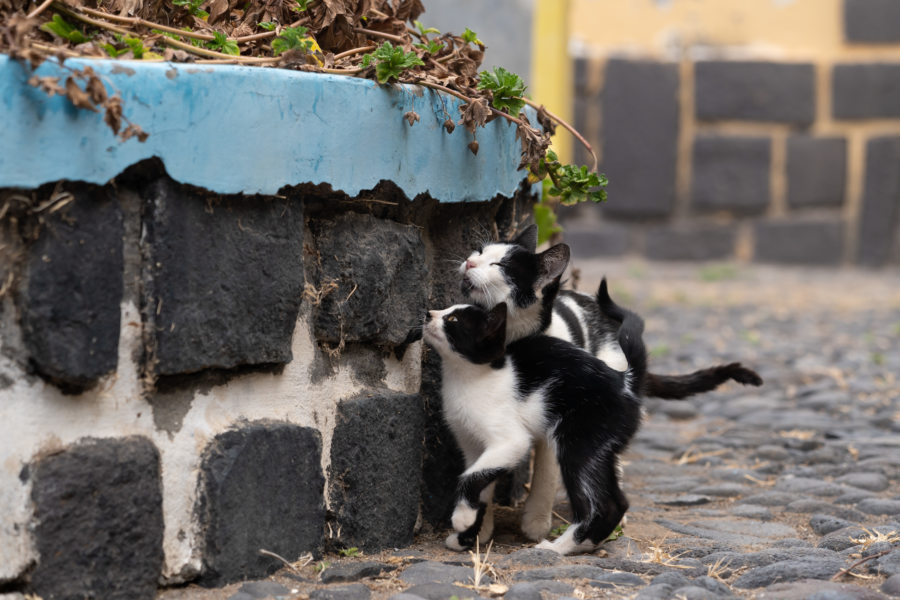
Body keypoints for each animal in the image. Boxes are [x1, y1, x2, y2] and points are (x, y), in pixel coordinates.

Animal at [424, 278, 648, 556]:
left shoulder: (511, 441)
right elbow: (481, 483)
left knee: (604, 503)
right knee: (619, 501)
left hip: (579, 444)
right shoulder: (473, 447)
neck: (469, 377)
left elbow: (470, 477)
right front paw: (468, 535)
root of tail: (624, 380)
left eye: (453, 319)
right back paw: (587, 543)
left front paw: (462, 519)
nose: (428, 313)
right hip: (601, 448)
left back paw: (560, 547)